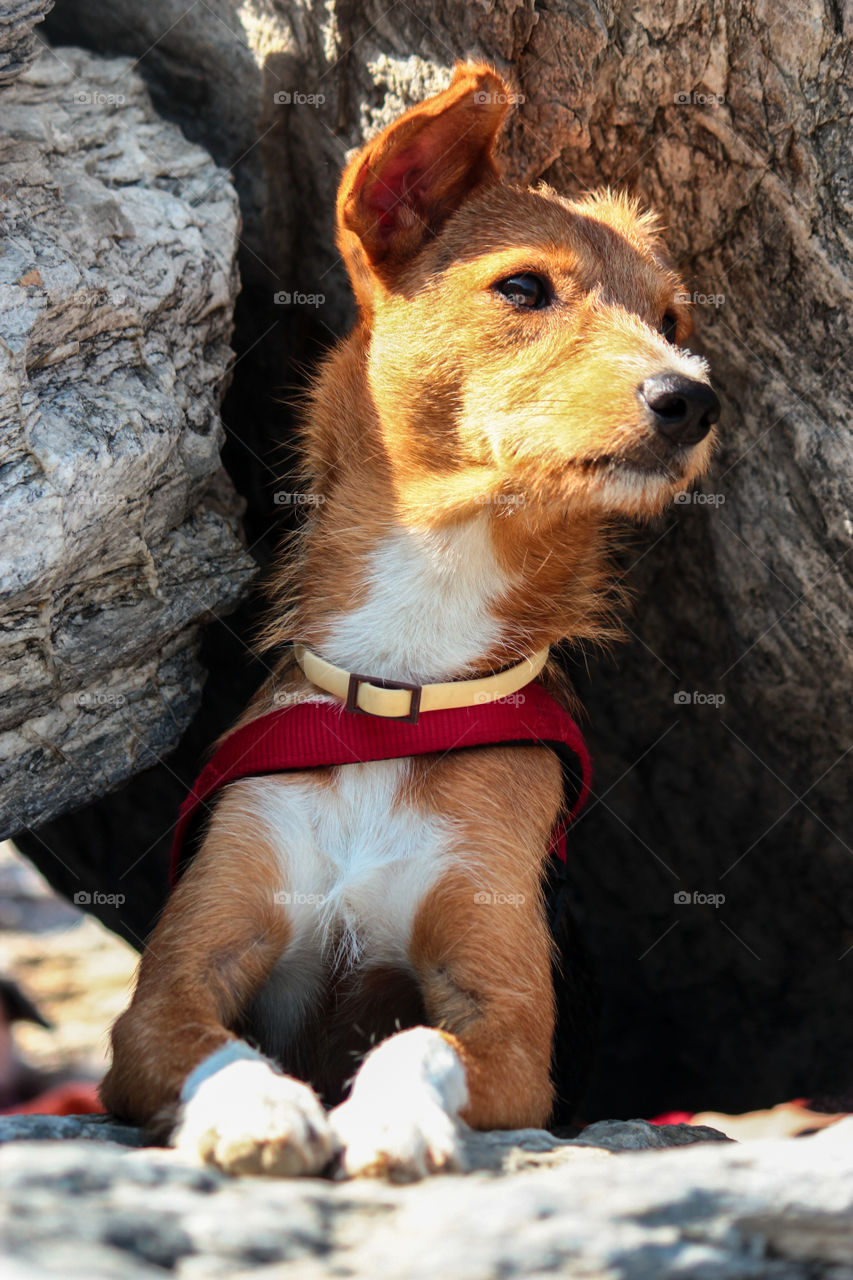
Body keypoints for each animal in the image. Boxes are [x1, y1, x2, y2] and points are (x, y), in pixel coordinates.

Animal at [103, 60, 722, 1177]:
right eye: (522, 288)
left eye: (672, 321)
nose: (691, 399)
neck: (402, 690)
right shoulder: (171, 983)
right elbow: (212, 1045)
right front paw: (255, 1110)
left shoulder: (511, 1022)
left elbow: (415, 1041)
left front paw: (389, 1116)